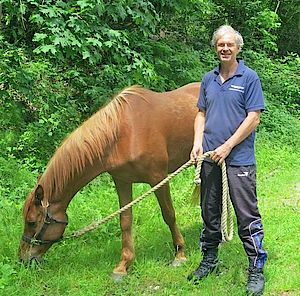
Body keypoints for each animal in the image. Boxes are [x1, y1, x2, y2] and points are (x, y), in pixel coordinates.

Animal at [19, 81, 200, 278]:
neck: (123, 133)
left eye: (31, 222)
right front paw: (123, 266)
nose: (23, 259)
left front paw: (180, 254)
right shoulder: (122, 181)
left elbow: (169, 215)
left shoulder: (158, 178)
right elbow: (125, 221)